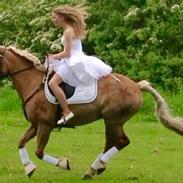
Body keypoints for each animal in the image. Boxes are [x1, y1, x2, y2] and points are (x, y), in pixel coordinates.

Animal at [0, 45, 183, 179]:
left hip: (113, 120)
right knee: (111, 143)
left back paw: (94, 168)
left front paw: (64, 164)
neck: (33, 84)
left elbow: (39, 152)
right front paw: (29, 168)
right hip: (111, 122)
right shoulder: (35, 125)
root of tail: (136, 86)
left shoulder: (45, 126)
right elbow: (21, 142)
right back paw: (95, 168)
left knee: (121, 142)